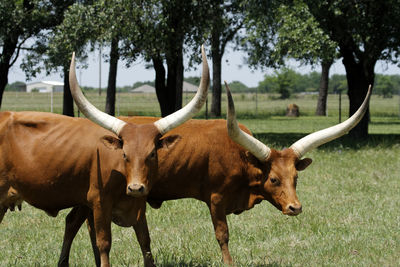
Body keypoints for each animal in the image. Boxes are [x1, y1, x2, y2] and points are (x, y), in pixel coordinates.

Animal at [0, 46, 211, 267]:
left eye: (152, 153)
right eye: (124, 154)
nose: (135, 187)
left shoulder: (138, 204)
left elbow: (145, 240)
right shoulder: (100, 202)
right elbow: (103, 242)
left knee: (72, 222)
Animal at [56, 85, 372, 266]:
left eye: (296, 177)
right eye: (273, 179)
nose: (295, 207)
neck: (239, 155)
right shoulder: (217, 198)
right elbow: (223, 235)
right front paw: (229, 263)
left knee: (73, 221)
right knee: (77, 223)